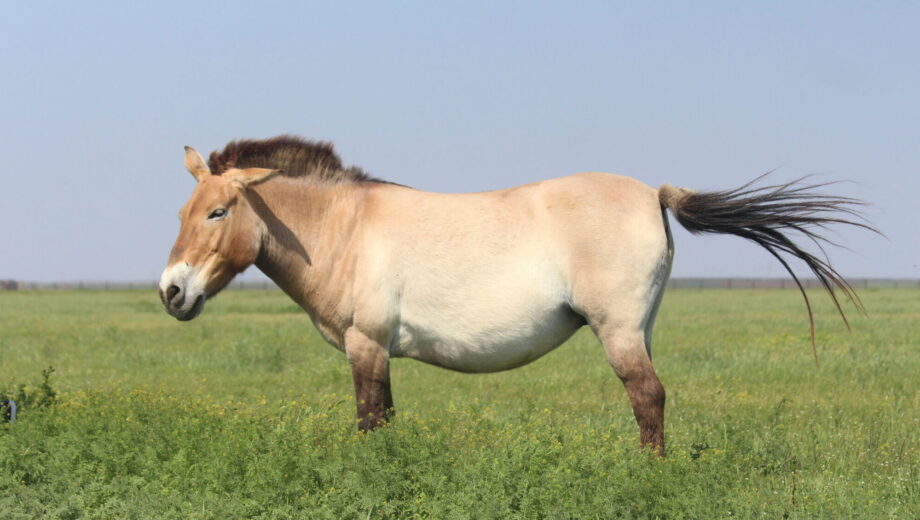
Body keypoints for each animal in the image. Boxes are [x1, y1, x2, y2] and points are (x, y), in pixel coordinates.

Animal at [159, 135, 871, 455]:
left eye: (218, 212)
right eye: (182, 211)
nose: (171, 291)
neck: (345, 228)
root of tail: (652, 193)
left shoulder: (366, 346)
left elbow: (369, 419)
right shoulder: (379, 352)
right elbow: (386, 417)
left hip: (618, 331)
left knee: (648, 396)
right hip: (640, 328)